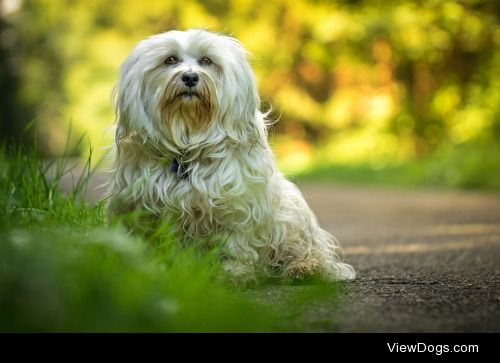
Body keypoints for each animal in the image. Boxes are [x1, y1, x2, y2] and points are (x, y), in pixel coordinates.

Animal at [106, 29, 356, 284]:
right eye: (170, 60)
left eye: (207, 61)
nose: (190, 77)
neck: (188, 141)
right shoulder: (146, 206)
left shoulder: (238, 205)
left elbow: (236, 242)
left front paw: (233, 273)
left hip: (291, 215)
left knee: (308, 250)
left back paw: (305, 268)